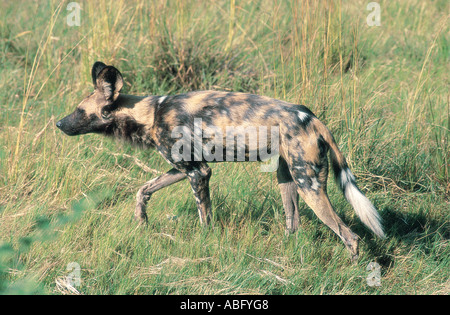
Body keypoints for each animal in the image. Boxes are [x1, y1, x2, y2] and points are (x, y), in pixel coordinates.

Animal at [58, 62, 384, 262]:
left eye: (80, 111)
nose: (59, 123)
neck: (151, 114)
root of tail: (313, 118)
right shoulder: (182, 169)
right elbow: (143, 190)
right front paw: (142, 221)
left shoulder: (198, 173)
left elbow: (205, 217)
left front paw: (205, 242)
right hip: (288, 179)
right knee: (294, 224)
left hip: (310, 186)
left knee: (350, 236)